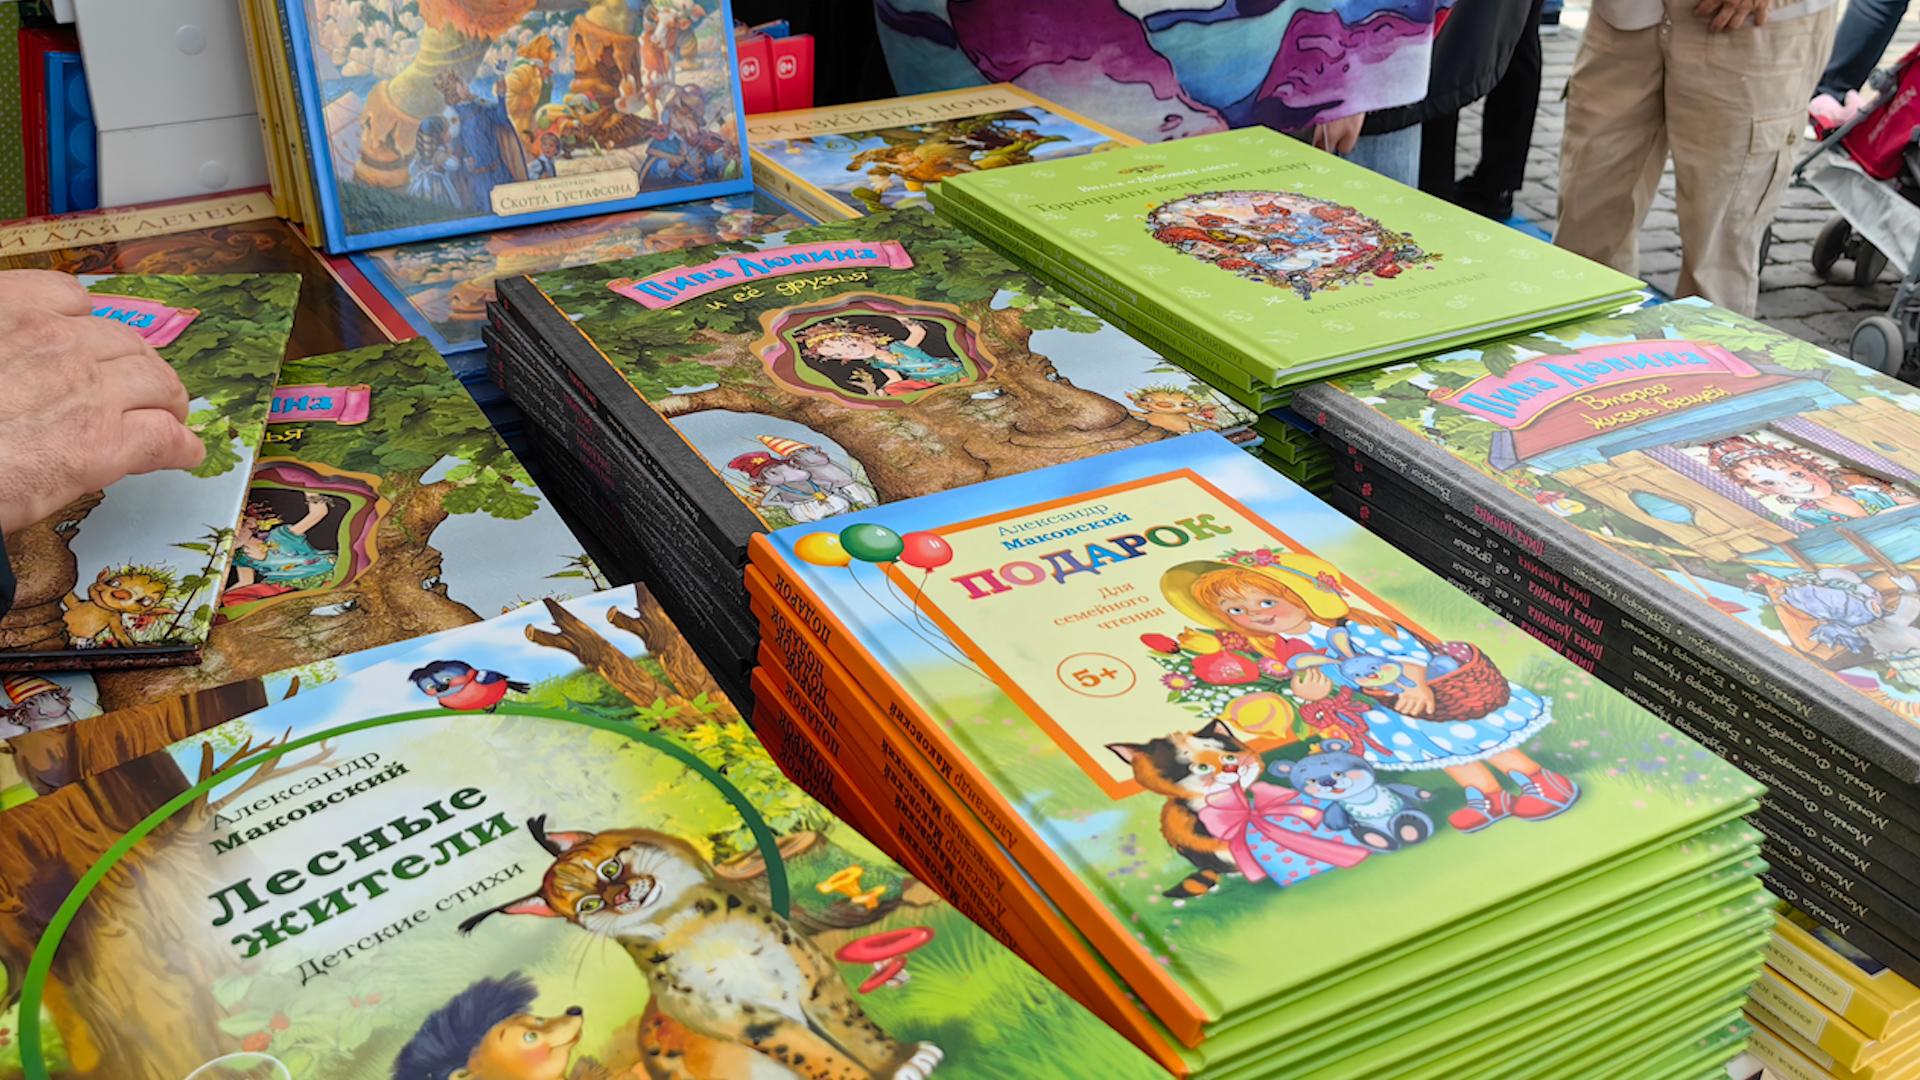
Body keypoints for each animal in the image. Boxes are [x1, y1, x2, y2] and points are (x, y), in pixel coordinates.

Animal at [459, 817, 944, 1080]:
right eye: (589, 906)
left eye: (610, 868)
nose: (622, 898)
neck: (691, 926)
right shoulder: (752, 1021)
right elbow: (818, 1057)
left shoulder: (810, 972)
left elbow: (856, 1027)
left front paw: (898, 1061)